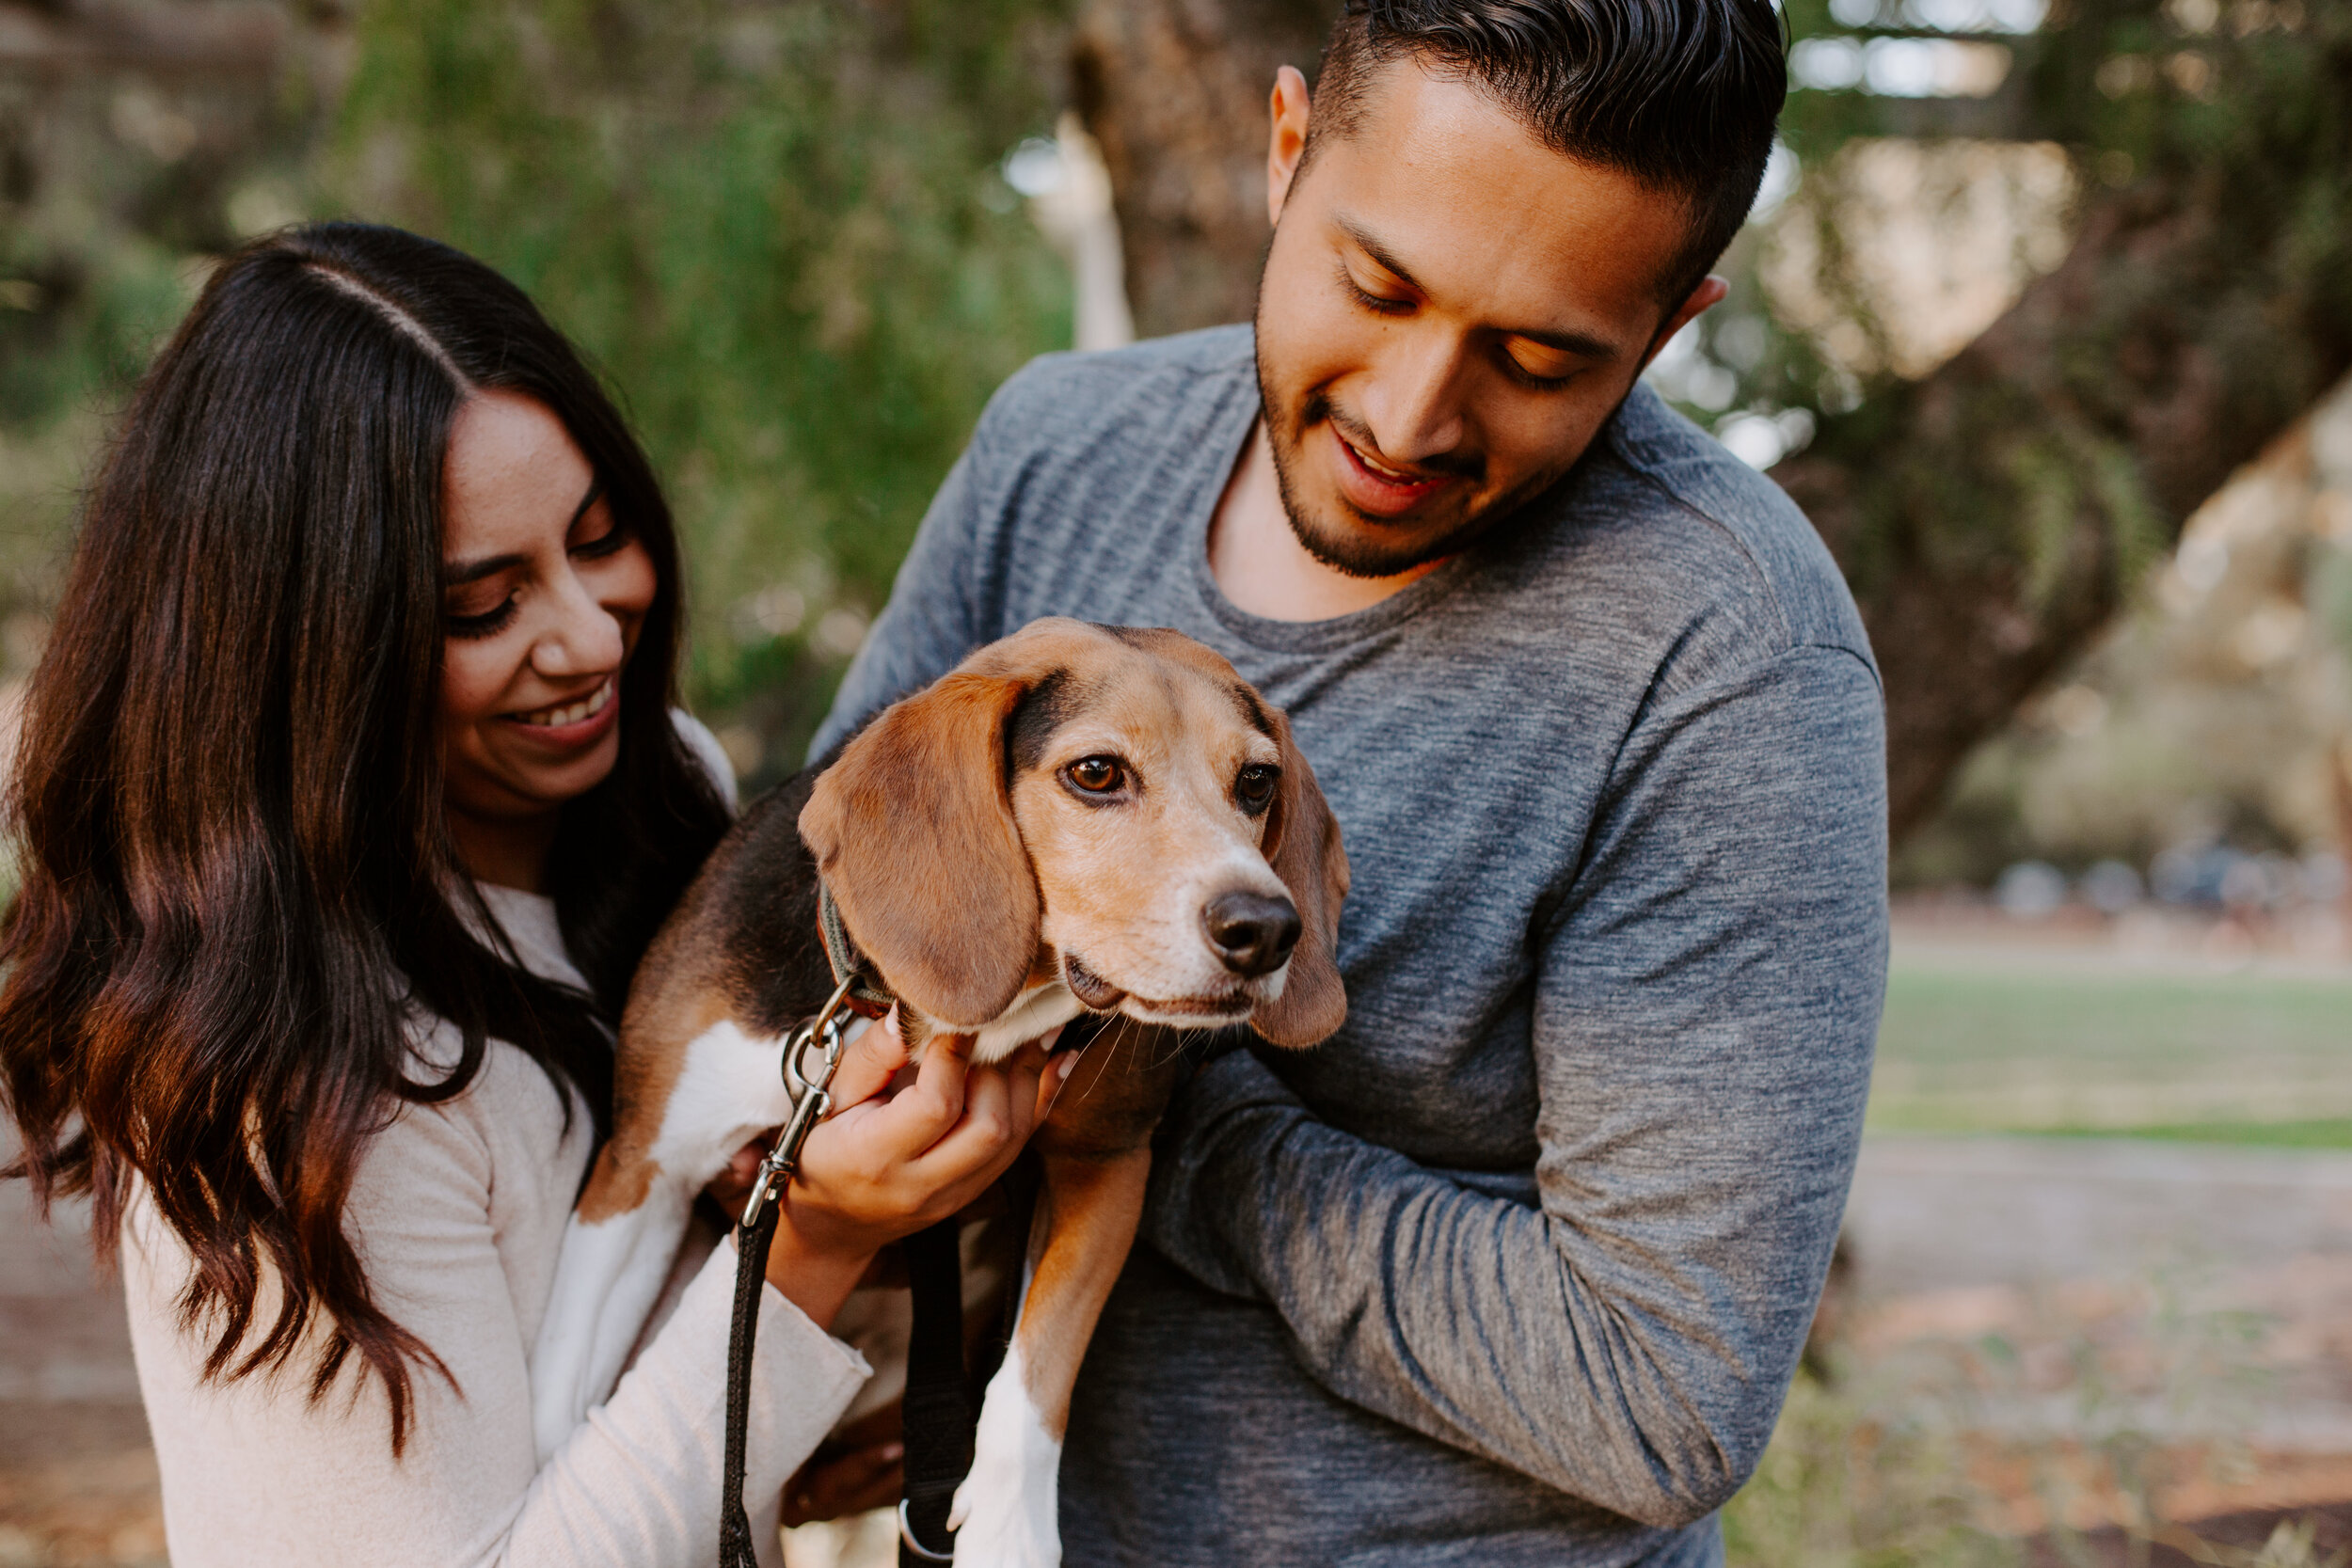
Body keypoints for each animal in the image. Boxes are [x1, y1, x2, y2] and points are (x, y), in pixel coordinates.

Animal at [529, 620, 1345, 1560]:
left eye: (1256, 782)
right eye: (1096, 772)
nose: (1267, 928)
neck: (944, 1023)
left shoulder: (1108, 1162)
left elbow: (1042, 1356)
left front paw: (1011, 1526)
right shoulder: (641, 1173)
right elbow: (560, 1390)